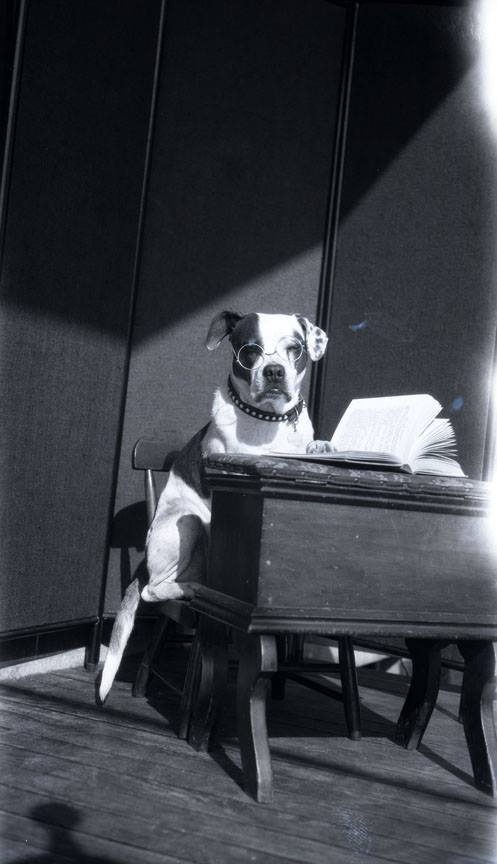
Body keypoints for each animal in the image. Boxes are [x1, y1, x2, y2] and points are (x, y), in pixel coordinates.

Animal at [97, 311, 328, 705]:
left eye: (294, 348)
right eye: (250, 350)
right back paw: (188, 589)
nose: (274, 371)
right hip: (184, 524)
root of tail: (144, 558)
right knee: (153, 589)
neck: (267, 421)